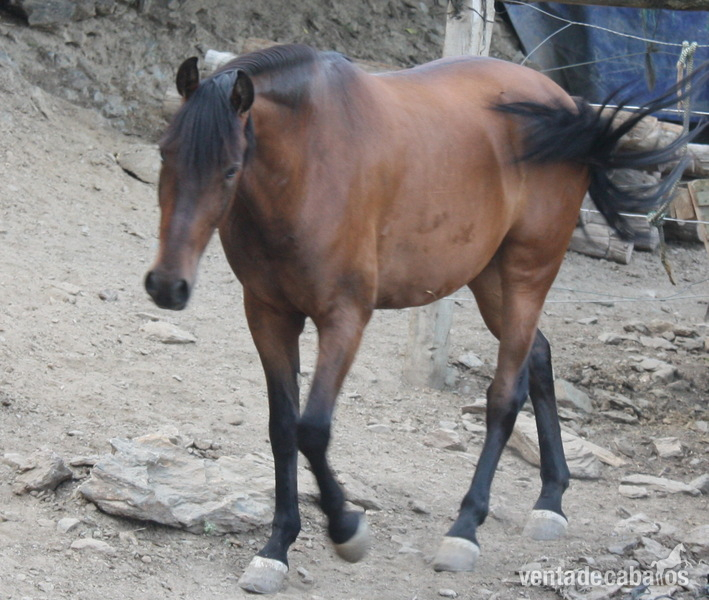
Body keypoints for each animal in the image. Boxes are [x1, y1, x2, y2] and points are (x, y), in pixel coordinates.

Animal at [144, 43, 706, 594]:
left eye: (230, 168)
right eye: (165, 153)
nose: (167, 285)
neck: (307, 165)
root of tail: (566, 106)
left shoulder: (344, 319)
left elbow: (313, 430)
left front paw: (346, 529)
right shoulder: (268, 315)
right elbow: (282, 428)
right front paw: (276, 548)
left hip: (527, 273)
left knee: (505, 396)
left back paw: (464, 530)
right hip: (489, 279)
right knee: (539, 357)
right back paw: (550, 501)